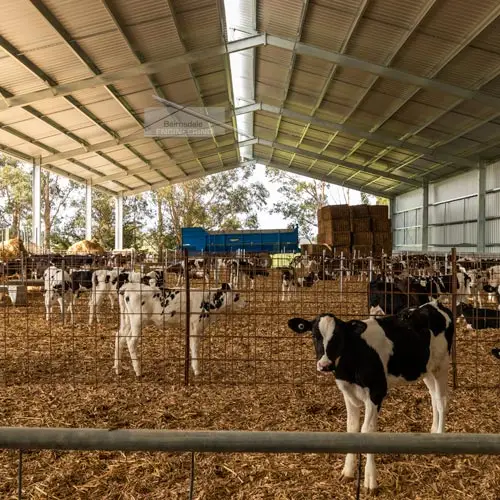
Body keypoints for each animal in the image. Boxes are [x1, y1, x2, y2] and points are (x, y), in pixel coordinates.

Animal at [115, 284, 244, 376]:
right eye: (237, 295)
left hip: (127, 320)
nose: (245, 303)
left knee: (119, 337)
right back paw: (138, 371)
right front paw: (197, 370)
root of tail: (128, 287)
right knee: (130, 341)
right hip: (137, 321)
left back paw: (118, 368)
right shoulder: (196, 326)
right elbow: (195, 347)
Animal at [288, 300, 456, 492]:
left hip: (441, 366)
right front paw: (348, 471)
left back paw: (441, 440)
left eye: (338, 337)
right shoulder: (347, 392)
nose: (325, 365)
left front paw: (370, 480)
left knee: (442, 401)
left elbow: (367, 431)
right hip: (426, 369)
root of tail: (434, 303)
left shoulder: (376, 392)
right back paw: (433, 432)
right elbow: (352, 428)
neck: (354, 358)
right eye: (315, 336)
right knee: (433, 397)